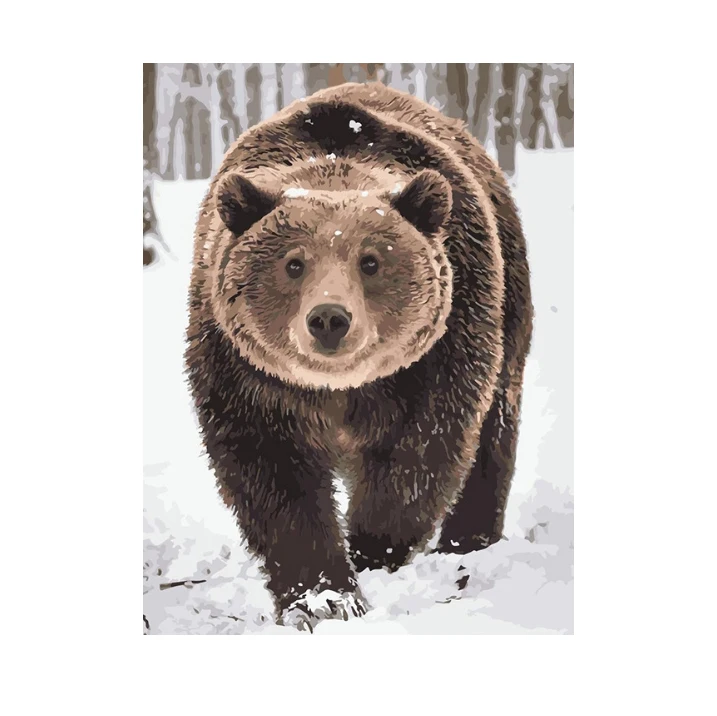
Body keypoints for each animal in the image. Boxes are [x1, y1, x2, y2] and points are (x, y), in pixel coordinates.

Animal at [185, 82, 533, 631]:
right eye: (293, 263)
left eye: (371, 261)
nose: (329, 318)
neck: (339, 391)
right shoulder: (243, 374)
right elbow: (273, 479)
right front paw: (323, 597)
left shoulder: (440, 353)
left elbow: (421, 455)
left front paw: (371, 550)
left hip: (509, 305)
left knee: (494, 433)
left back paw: (468, 543)